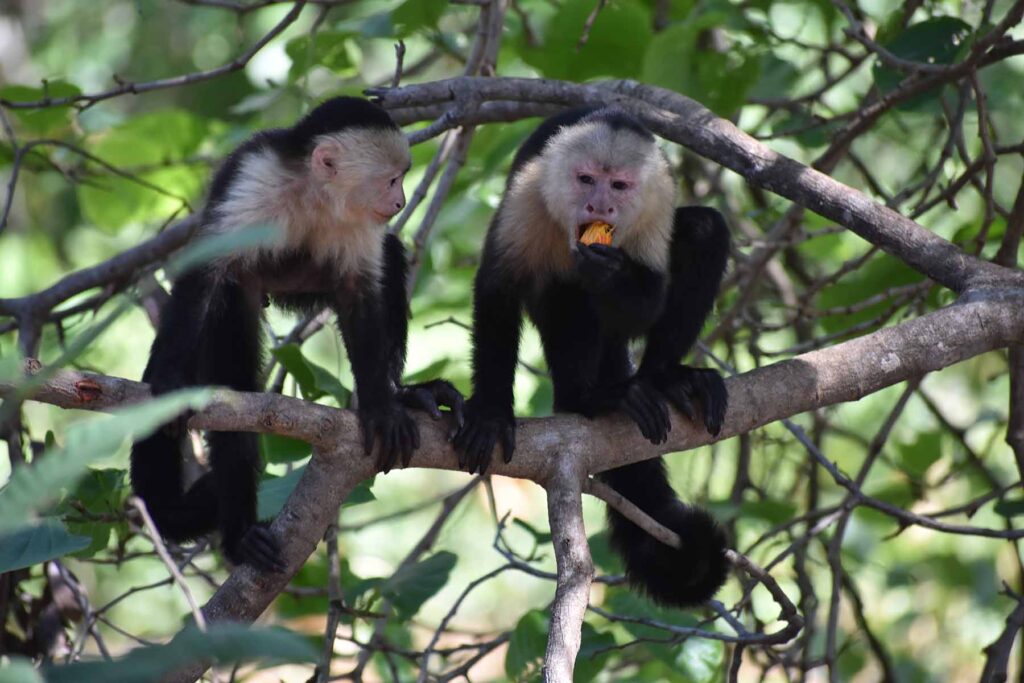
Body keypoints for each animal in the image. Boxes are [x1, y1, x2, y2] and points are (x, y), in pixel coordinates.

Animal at [130, 97, 463, 573]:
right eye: (392, 179)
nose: (399, 201)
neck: (315, 196)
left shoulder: (359, 224)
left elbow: (362, 293)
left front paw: (382, 407)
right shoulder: (255, 182)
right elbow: (205, 268)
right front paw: (170, 380)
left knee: (392, 257)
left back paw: (404, 394)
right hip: (243, 295)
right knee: (235, 401)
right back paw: (240, 537)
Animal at [453, 106, 731, 608]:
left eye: (618, 186)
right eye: (585, 180)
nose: (599, 207)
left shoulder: (655, 206)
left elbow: (648, 301)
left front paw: (612, 273)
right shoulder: (528, 198)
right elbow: (497, 291)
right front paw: (491, 413)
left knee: (704, 230)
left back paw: (664, 379)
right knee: (564, 289)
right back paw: (586, 400)